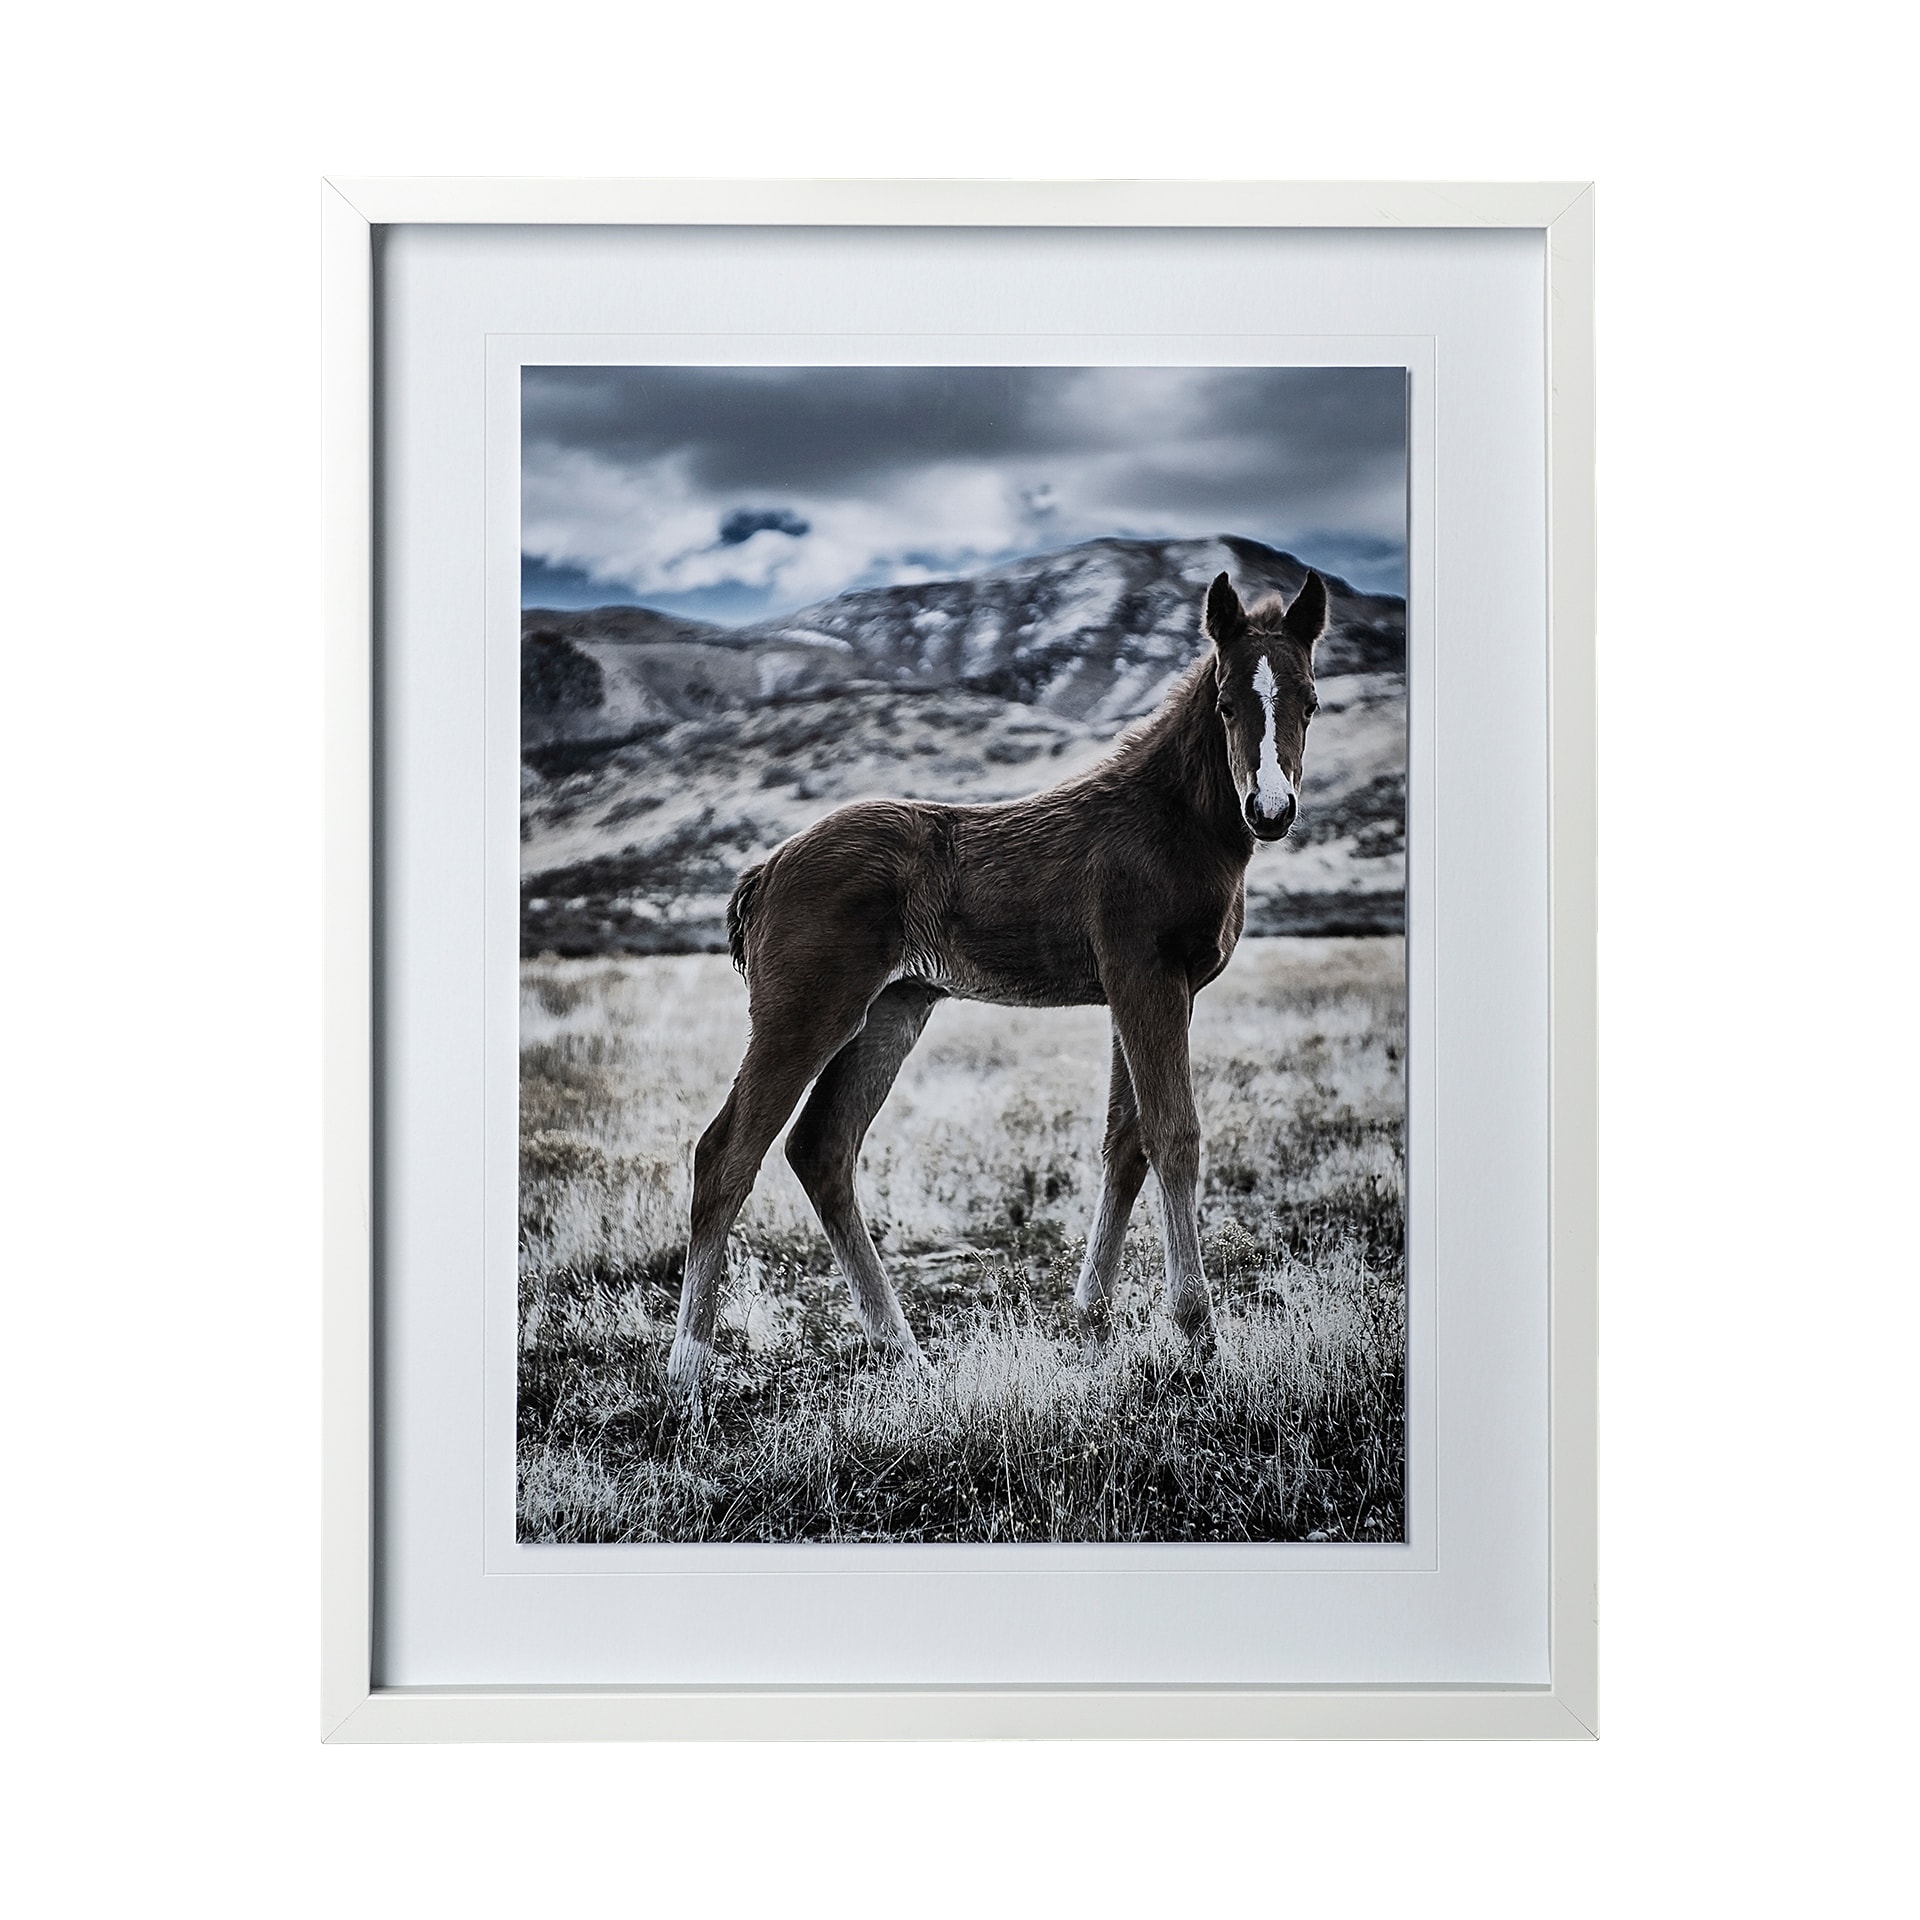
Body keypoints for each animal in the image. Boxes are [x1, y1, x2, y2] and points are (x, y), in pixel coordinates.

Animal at [667, 567, 1328, 1388]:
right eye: (1227, 703)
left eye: (1310, 702)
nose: (1270, 811)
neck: (1167, 822)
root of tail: (769, 867)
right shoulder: (1147, 977)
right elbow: (1175, 1133)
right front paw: (1197, 1334)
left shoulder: (1143, 991)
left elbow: (1125, 1142)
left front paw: (1091, 1319)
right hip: (804, 1014)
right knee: (726, 1155)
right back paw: (687, 1369)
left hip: (891, 1010)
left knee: (821, 1150)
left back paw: (905, 1352)